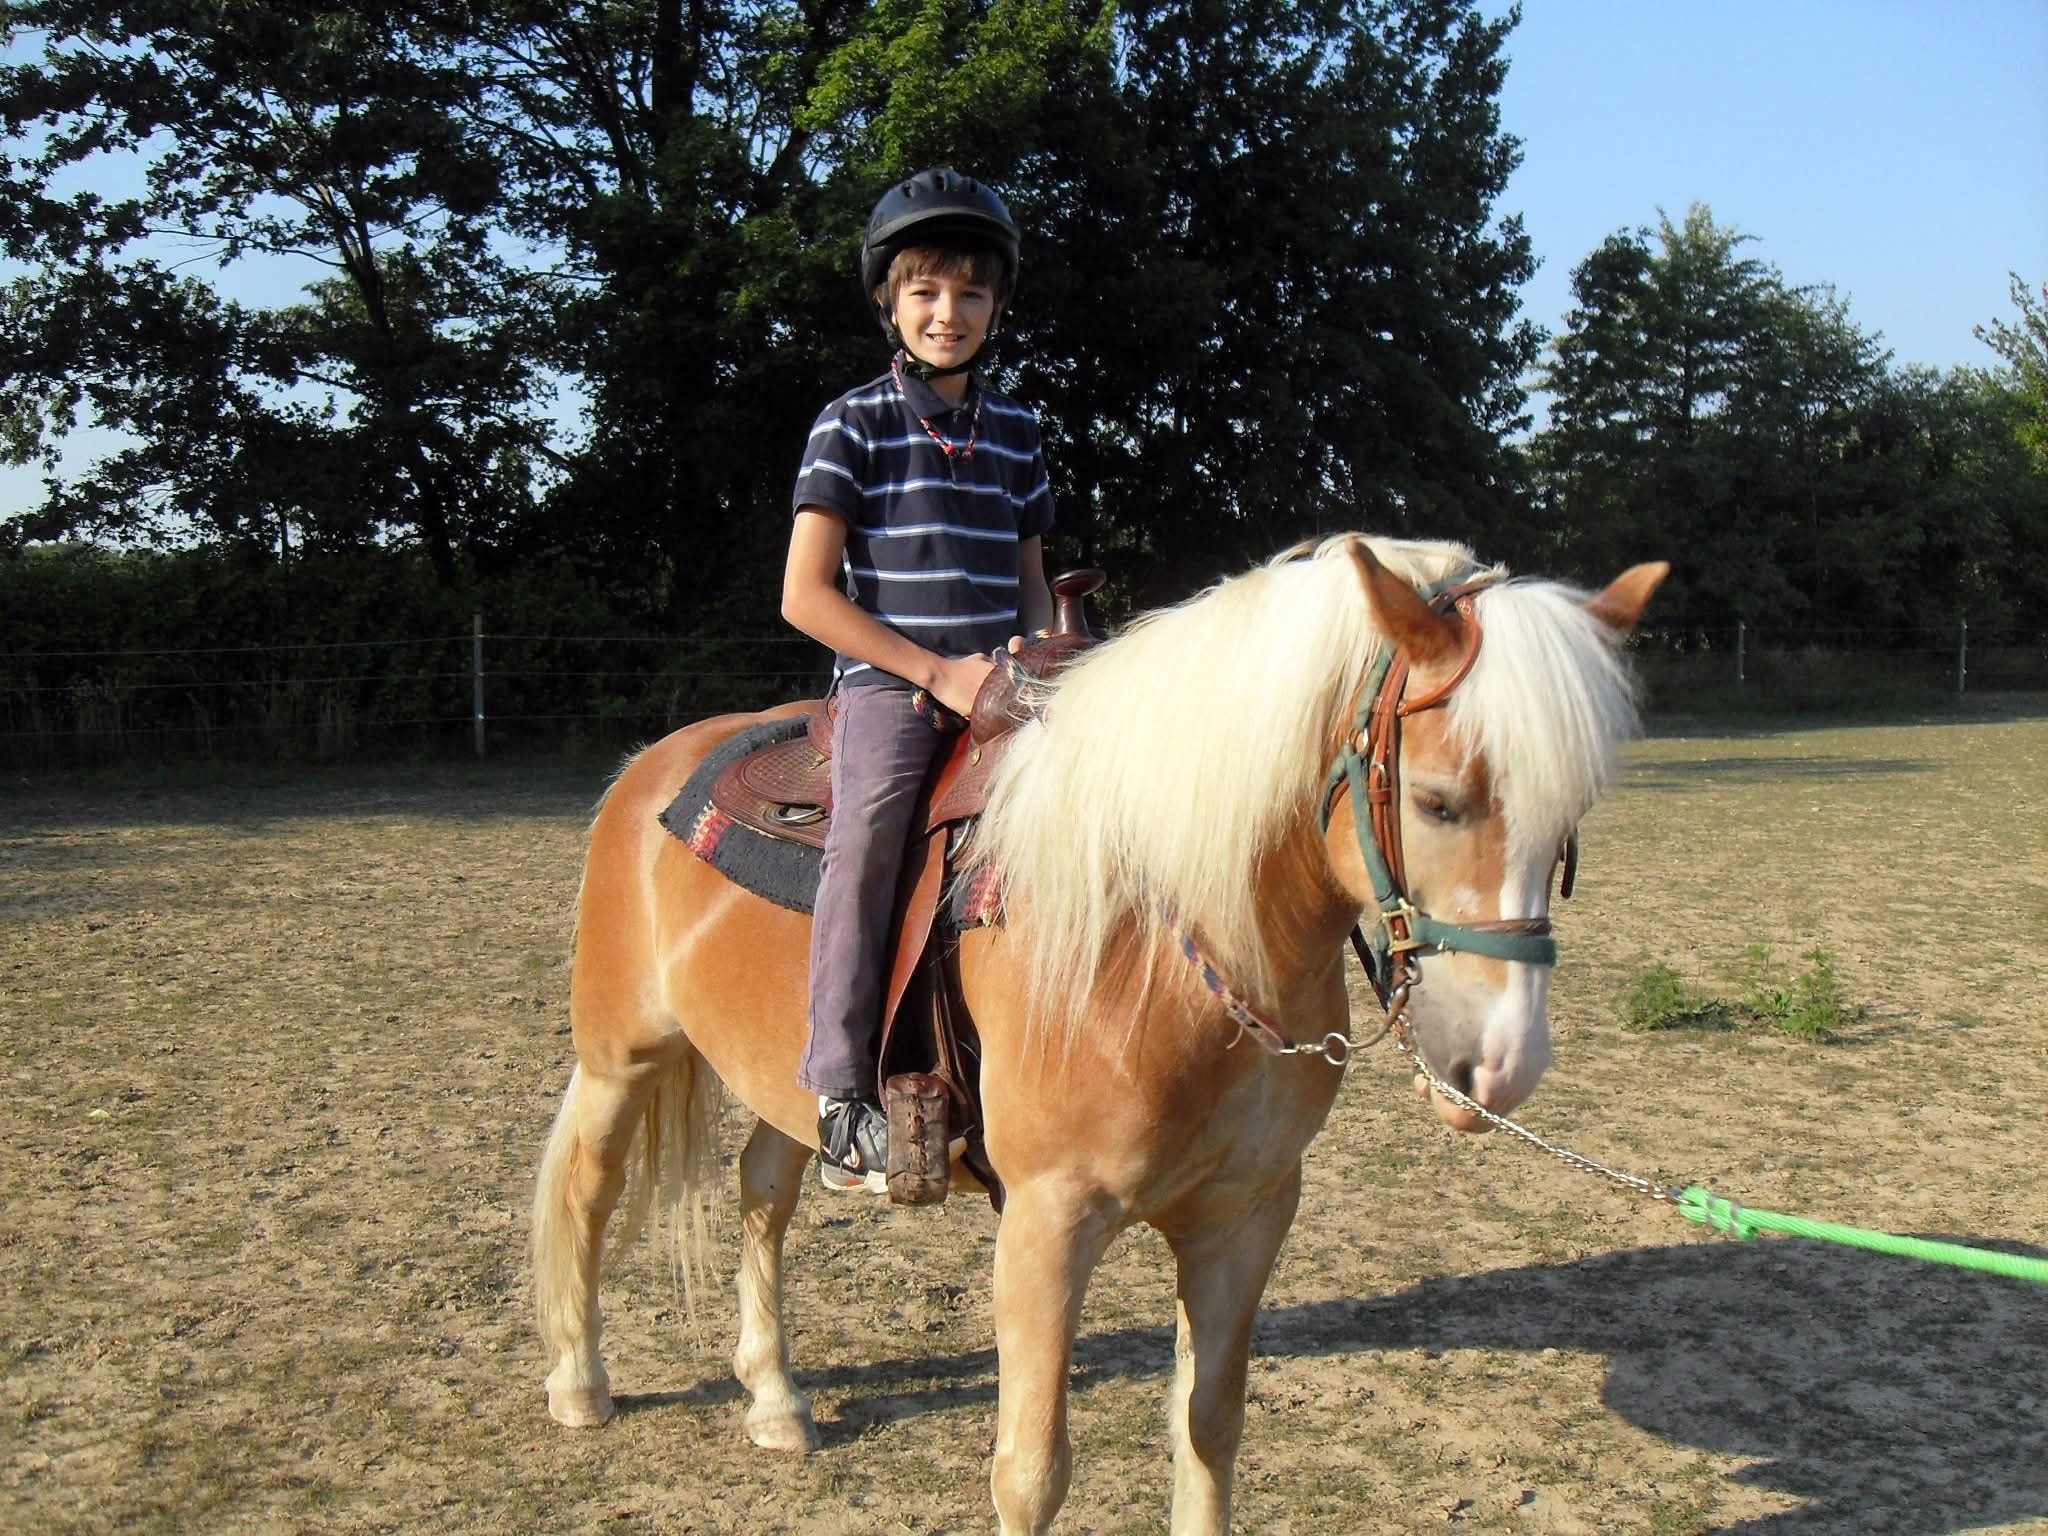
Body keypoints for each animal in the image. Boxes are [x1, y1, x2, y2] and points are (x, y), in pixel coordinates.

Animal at [531, 533, 1667, 1535]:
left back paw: (772, 1396)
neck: (1168, 936)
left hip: (795, 1071)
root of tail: (655, 763)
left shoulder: (1245, 1216)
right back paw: (580, 1384)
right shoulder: (1048, 1223)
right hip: (619, 1057)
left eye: (1571, 819)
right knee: (586, 1186)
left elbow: (1208, 1433)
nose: (1501, 1067)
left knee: (762, 1192)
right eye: (1435, 801)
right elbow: (1031, 1474)